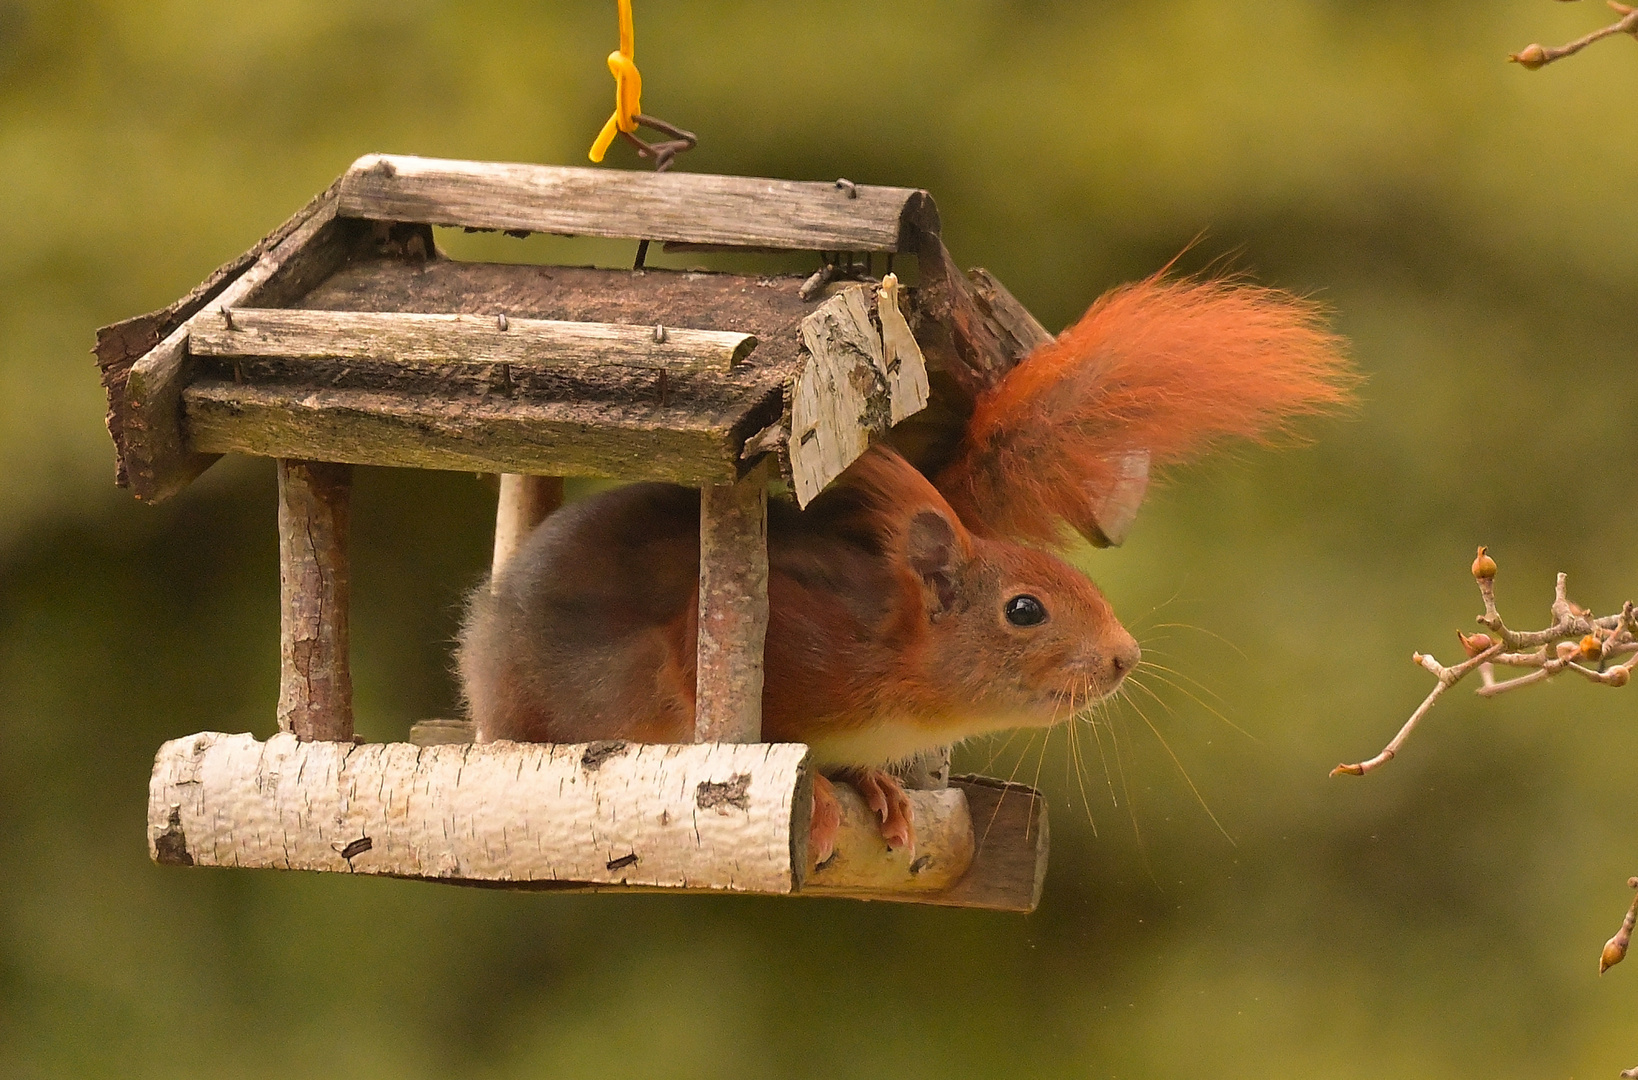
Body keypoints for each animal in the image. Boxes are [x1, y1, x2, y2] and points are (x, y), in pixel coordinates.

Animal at [455, 270, 1349, 858]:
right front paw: (817, 790)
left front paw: (878, 787)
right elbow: (716, 689)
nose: (1125, 659)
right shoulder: (769, 641)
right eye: (1025, 610)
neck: (906, 680)